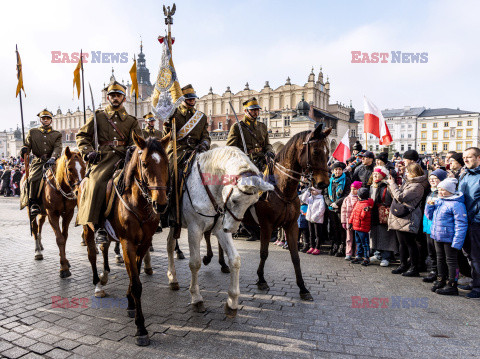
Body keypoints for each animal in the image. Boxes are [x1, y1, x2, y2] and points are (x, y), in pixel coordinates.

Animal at [82, 134, 171, 348]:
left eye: (166, 163)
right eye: (145, 164)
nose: (161, 204)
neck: (138, 202)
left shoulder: (144, 243)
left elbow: (135, 275)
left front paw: (130, 303)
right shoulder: (127, 243)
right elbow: (136, 283)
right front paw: (141, 328)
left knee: (104, 247)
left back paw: (105, 275)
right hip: (87, 228)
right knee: (92, 255)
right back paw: (98, 284)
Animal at [166, 146, 272, 318]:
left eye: (252, 203)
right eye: (235, 200)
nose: (232, 229)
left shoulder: (220, 229)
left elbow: (235, 259)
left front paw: (232, 301)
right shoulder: (194, 229)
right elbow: (195, 263)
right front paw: (196, 298)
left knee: (169, 244)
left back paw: (172, 278)